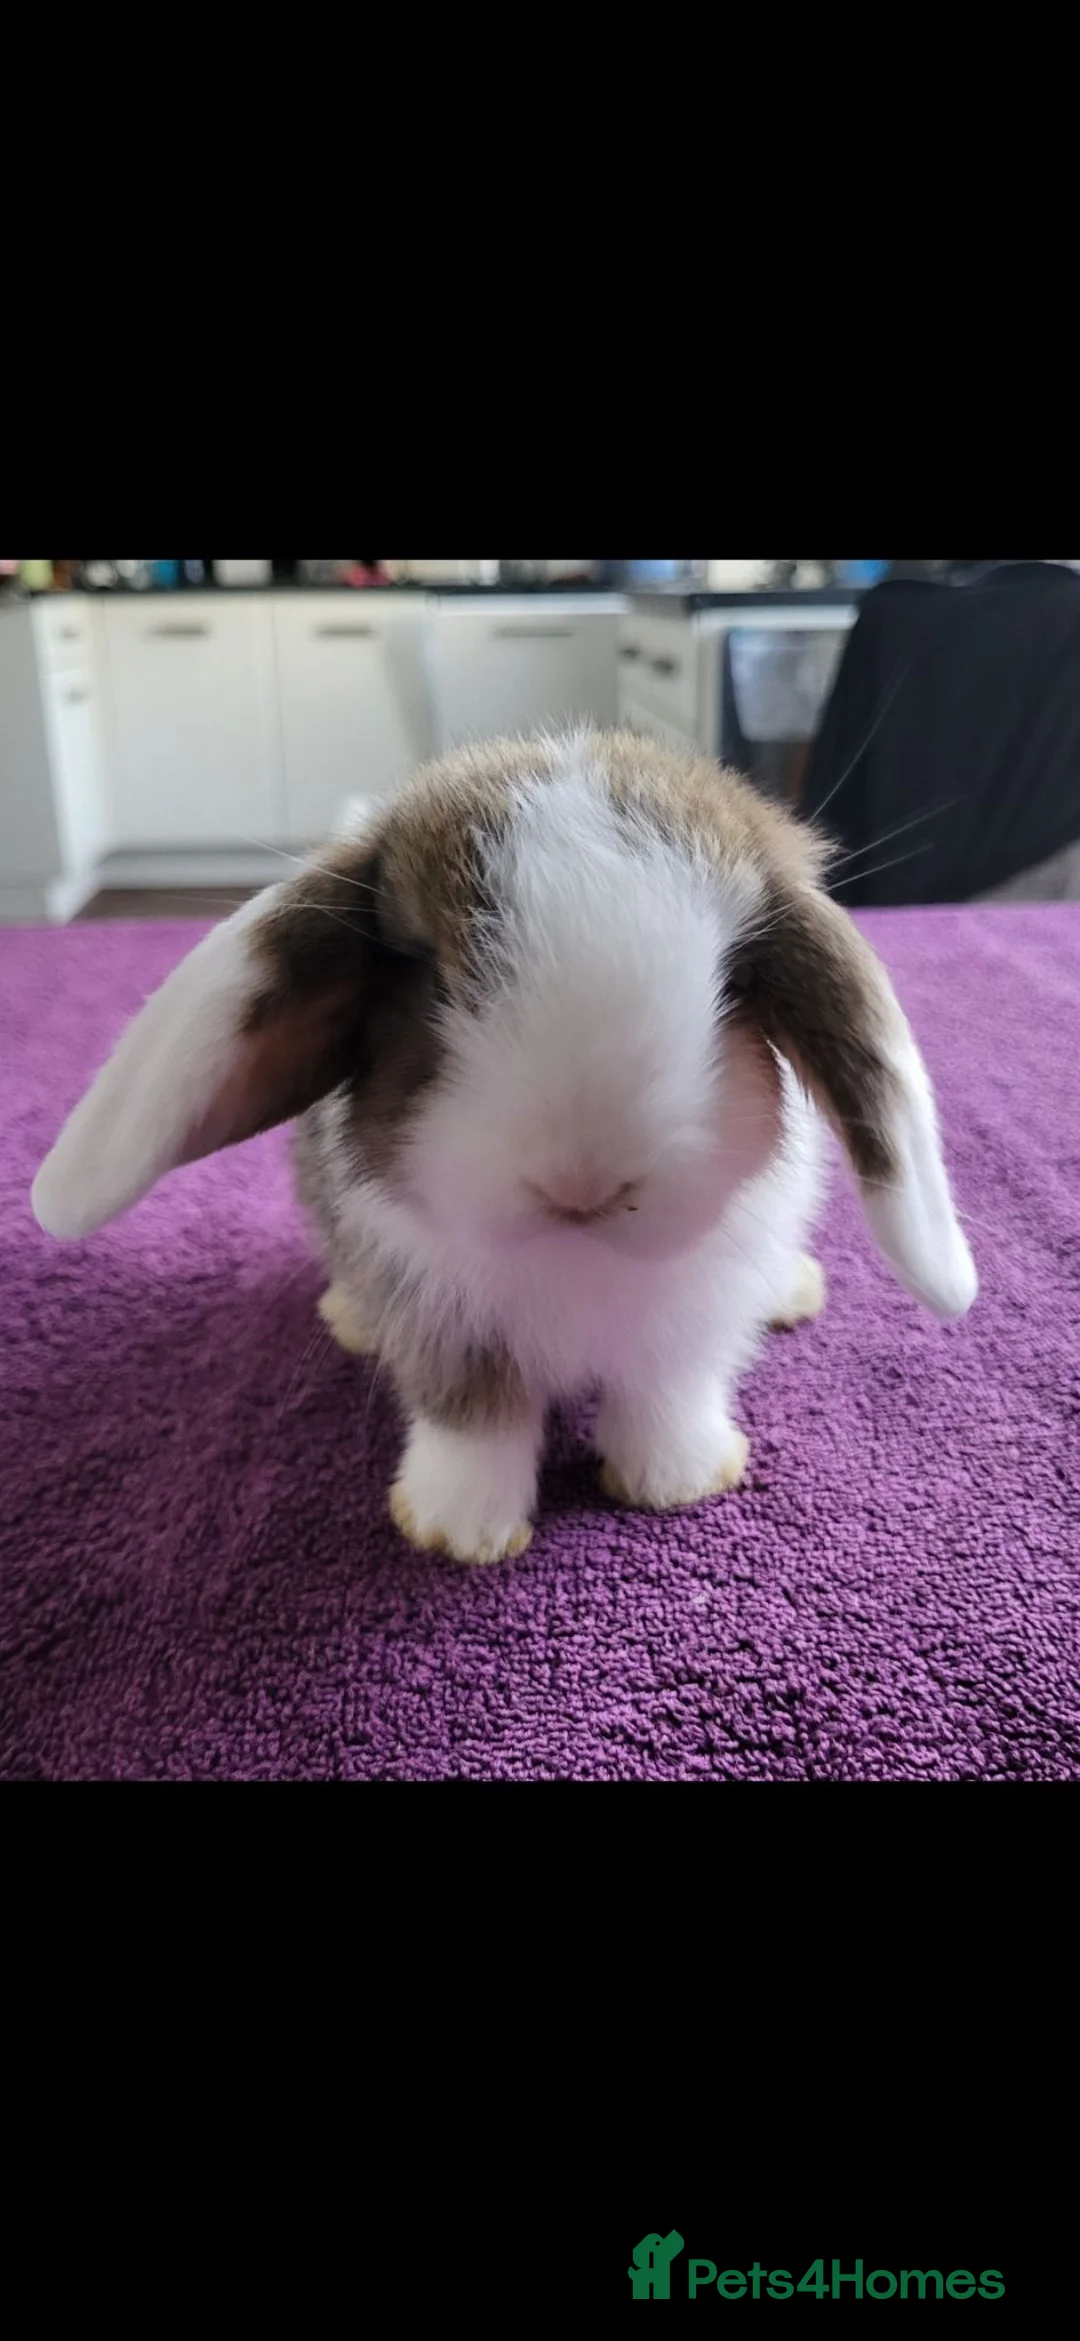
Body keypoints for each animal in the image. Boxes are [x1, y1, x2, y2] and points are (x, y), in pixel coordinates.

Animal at [31, 729, 977, 1565]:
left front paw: (677, 1482)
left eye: (730, 981)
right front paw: (460, 1532)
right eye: (432, 977)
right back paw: (350, 1320)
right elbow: (474, 1420)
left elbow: (667, 1393)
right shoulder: (441, 1322)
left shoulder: (689, 1324)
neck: (575, 1255)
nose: (584, 1179)